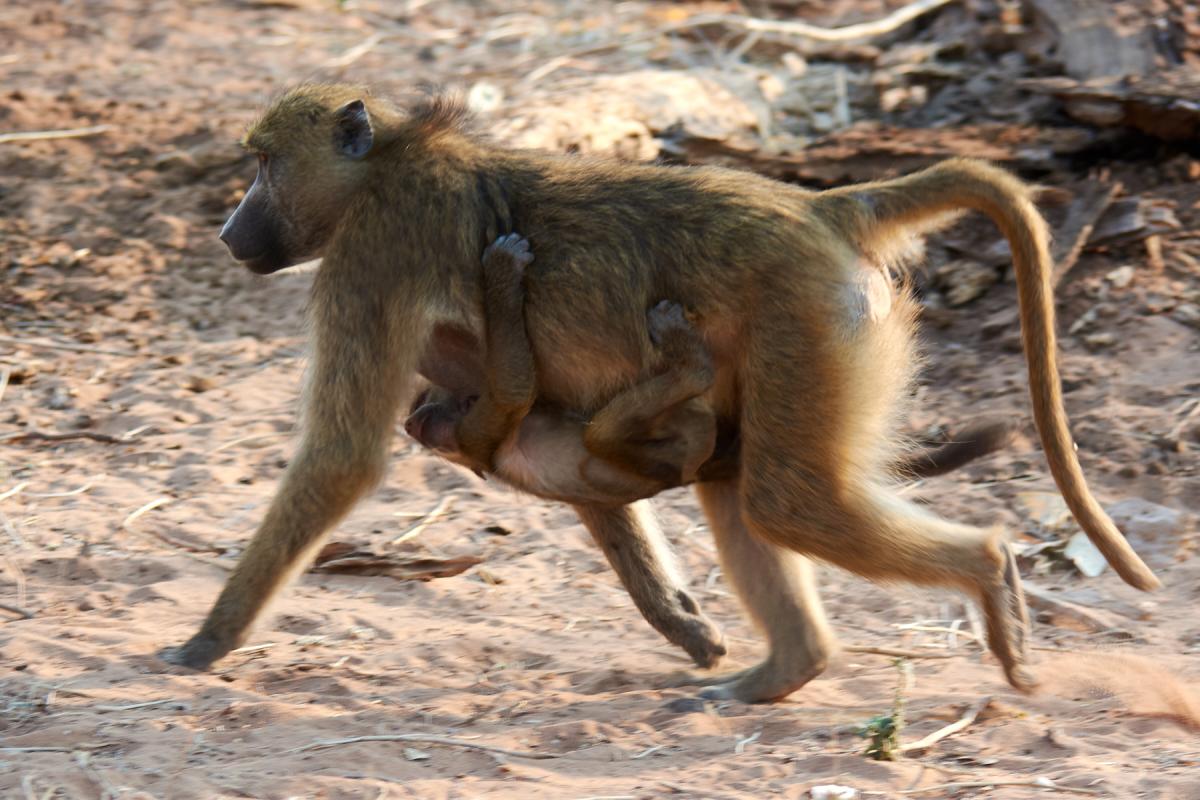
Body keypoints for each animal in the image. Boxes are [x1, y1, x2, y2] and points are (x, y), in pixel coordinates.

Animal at [162, 85, 1158, 705]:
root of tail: (819, 209)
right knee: (744, 490)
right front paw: (683, 625)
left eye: (262, 166)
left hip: (804, 319)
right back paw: (781, 672)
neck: (389, 165)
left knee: (788, 500)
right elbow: (561, 445)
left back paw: (987, 576)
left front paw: (203, 643)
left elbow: (343, 457)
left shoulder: (372, 258)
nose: (228, 231)